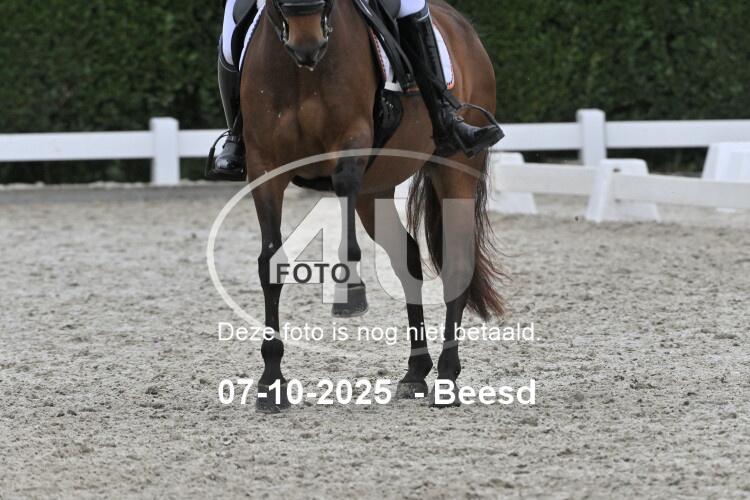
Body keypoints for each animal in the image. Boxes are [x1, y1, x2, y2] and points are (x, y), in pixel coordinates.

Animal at [239, 0, 504, 409]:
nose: (308, 44)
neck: (301, 72)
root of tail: (461, 24)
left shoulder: (352, 142)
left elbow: (344, 184)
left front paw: (350, 289)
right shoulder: (264, 168)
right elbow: (271, 264)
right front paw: (271, 382)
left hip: (456, 168)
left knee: (458, 261)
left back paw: (446, 378)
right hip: (376, 189)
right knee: (407, 259)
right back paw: (415, 372)